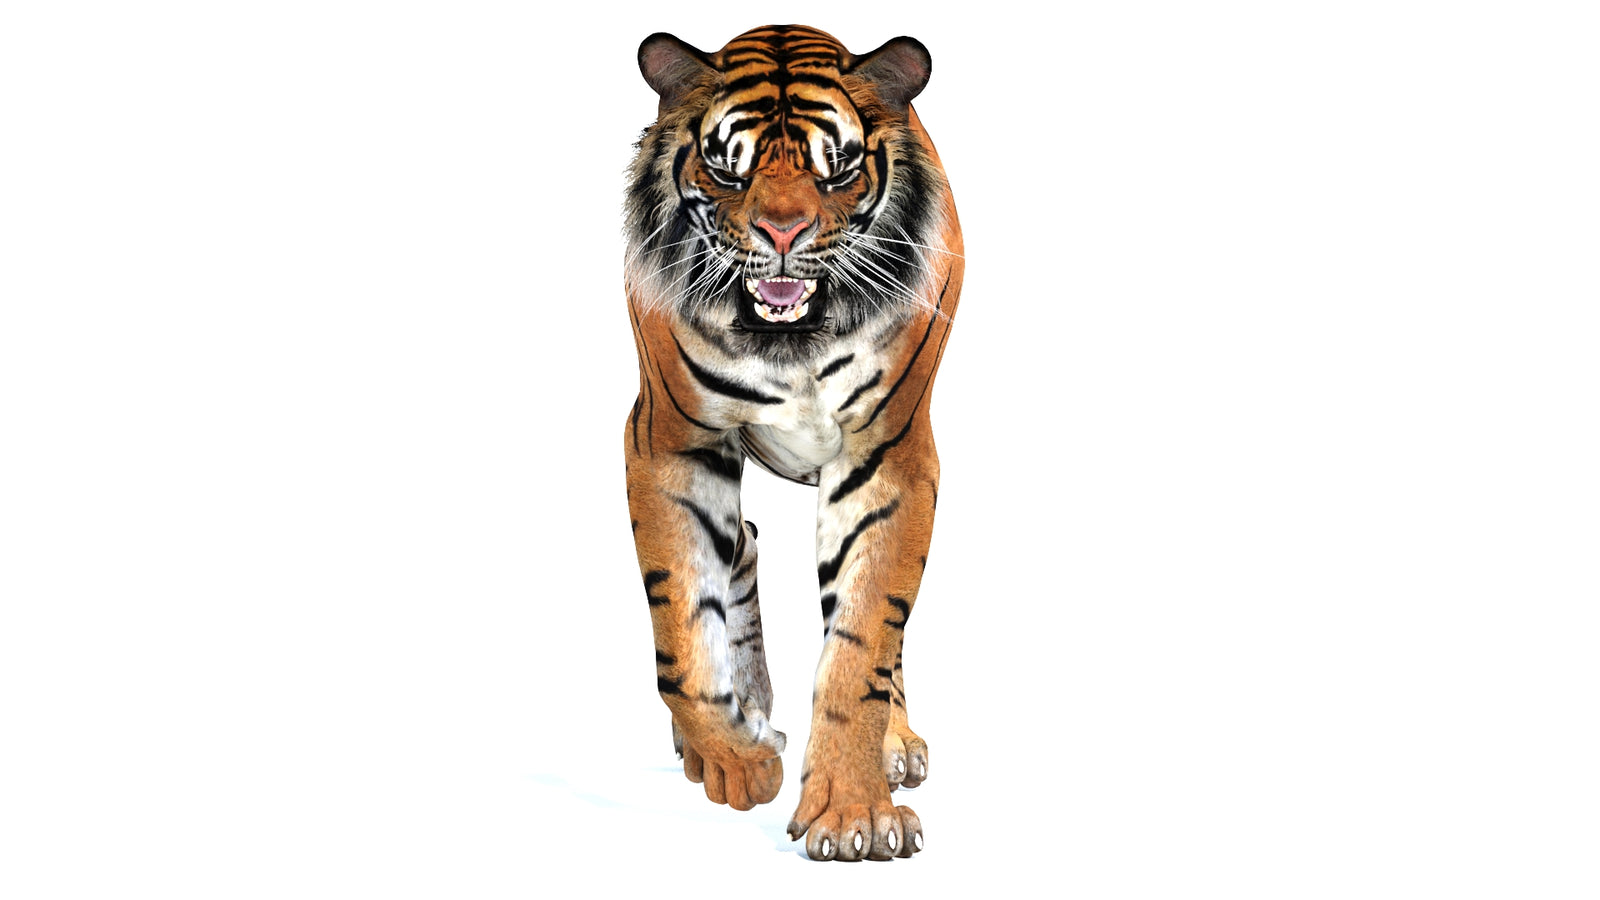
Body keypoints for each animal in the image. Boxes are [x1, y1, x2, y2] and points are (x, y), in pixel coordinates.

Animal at [622, 24, 963, 862]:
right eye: (727, 166)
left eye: (834, 167)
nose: (782, 233)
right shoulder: (669, 441)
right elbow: (681, 625)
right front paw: (734, 759)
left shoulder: (889, 456)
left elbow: (864, 641)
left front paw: (854, 813)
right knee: (739, 546)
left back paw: (895, 745)